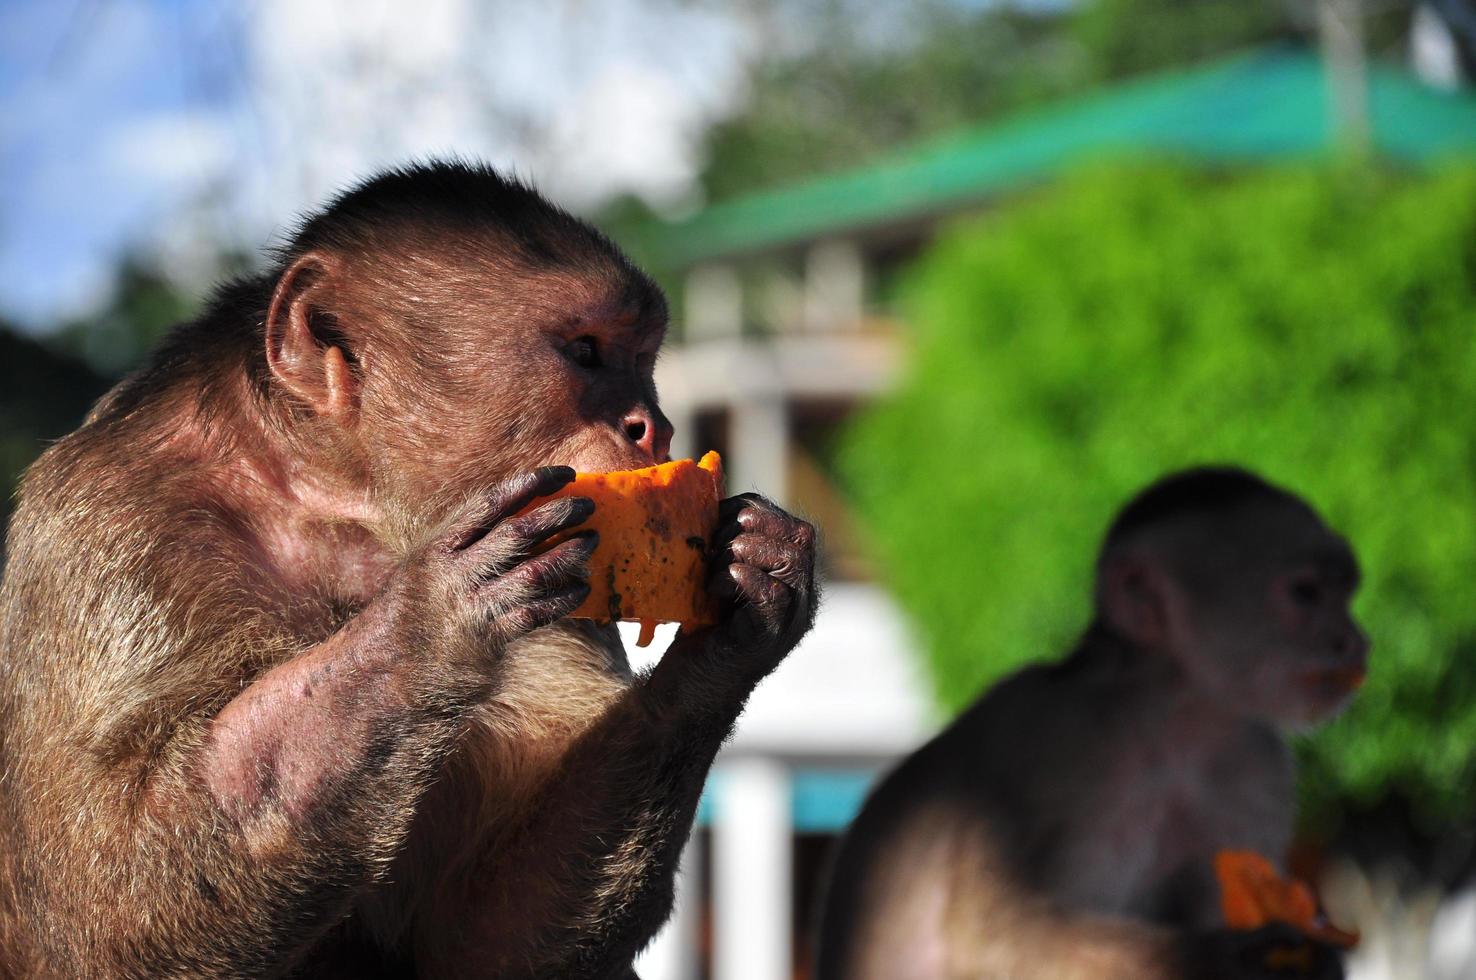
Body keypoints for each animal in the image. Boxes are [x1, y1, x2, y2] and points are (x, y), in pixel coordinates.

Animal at [0, 162, 820, 980]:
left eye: (641, 363)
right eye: (585, 352)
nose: (653, 425)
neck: (340, 507)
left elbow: (476, 942)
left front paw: (735, 622)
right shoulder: (111, 522)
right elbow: (101, 924)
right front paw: (424, 629)